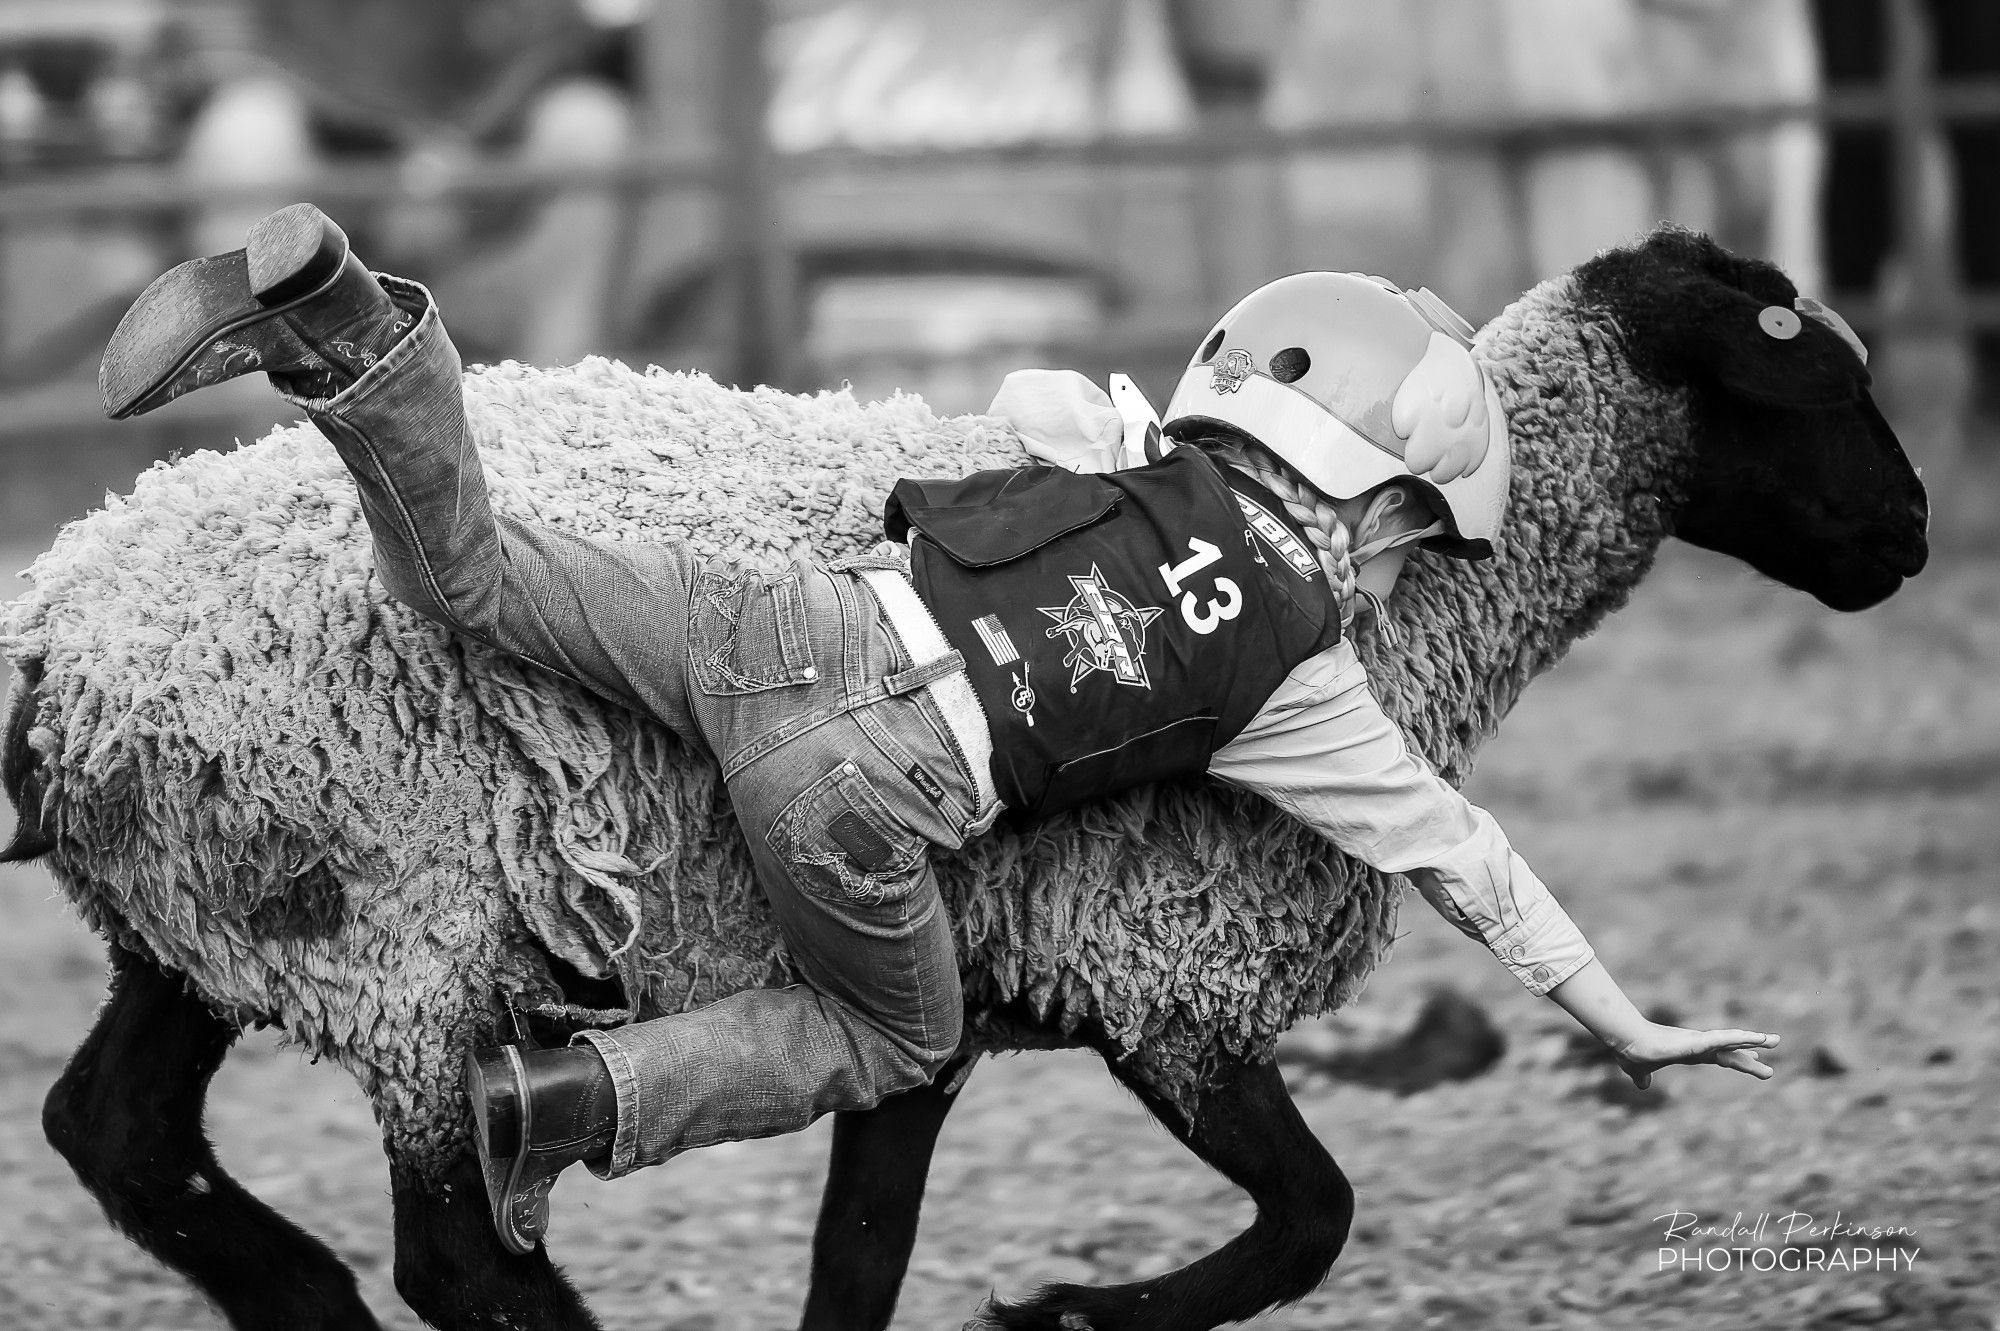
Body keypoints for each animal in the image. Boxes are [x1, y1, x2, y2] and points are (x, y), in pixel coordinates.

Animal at [3, 227, 1936, 1327]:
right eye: (1798, 385)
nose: (1913, 538)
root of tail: (61, 621)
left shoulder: (950, 1010)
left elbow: (861, 1251)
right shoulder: (1166, 964)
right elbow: (1314, 1217)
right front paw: (1074, 1312)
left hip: (230, 916)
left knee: (116, 1127)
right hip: (405, 928)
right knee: (449, 1245)